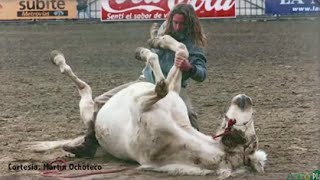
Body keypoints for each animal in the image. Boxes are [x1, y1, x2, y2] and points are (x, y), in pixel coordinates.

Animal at [28, 34, 268, 179]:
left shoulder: (140, 105)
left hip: (89, 111)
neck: (180, 133)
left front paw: (149, 48)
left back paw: (58, 59)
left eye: (246, 133)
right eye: (249, 127)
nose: (246, 99)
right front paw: (158, 41)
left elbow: (161, 85)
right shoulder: (171, 94)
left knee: (84, 88)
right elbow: (180, 54)